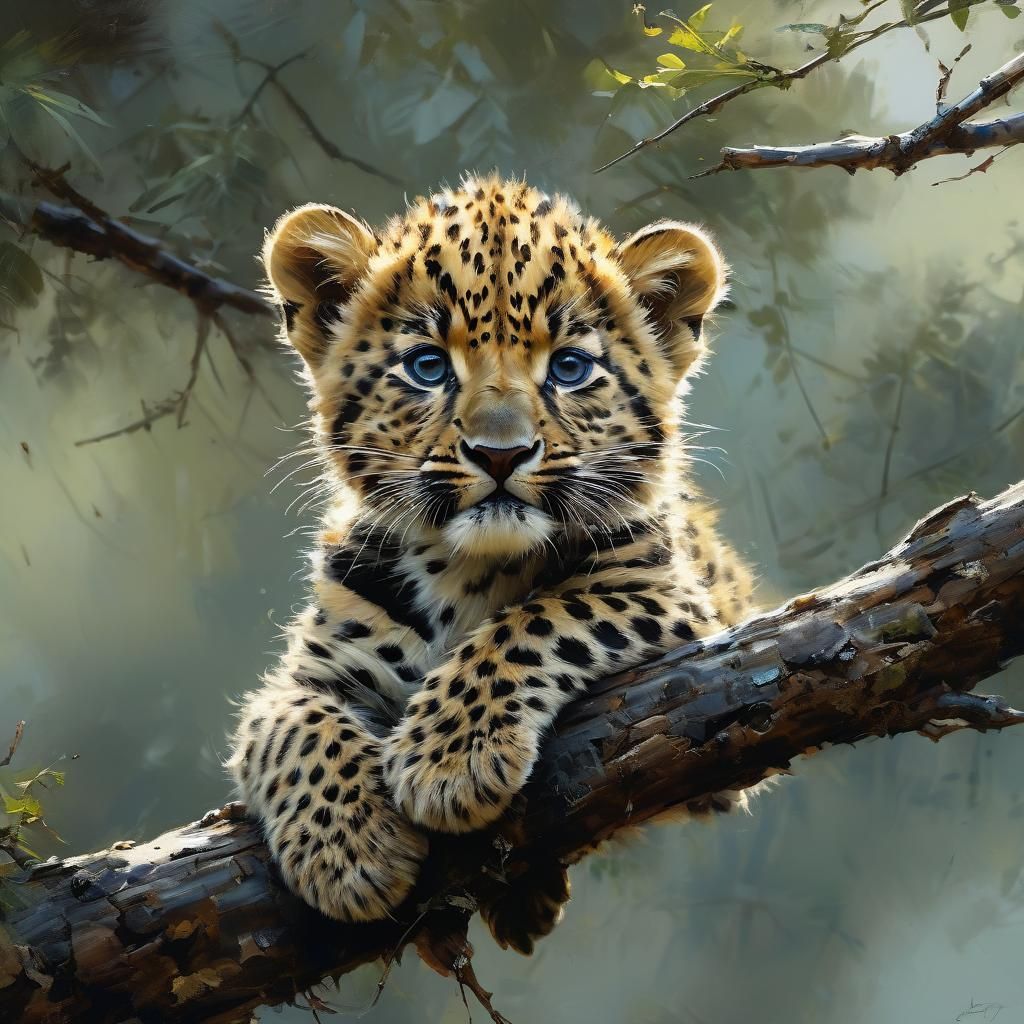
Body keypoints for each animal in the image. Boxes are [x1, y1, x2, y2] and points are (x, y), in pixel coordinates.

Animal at [227, 173, 753, 954]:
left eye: (569, 368)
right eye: (427, 367)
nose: (499, 454)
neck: (467, 571)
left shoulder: (669, 598)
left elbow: (540, 619)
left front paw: (448, 761)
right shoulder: (316, 669)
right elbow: (283, 723)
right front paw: (348, 850)